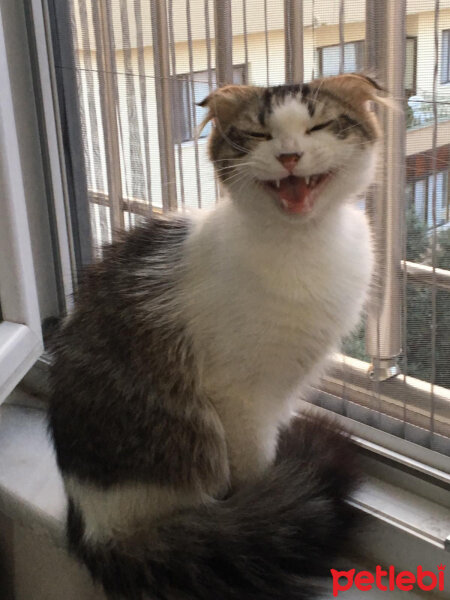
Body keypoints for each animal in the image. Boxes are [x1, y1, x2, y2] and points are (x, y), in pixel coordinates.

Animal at [48, 75, 384, 600]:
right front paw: (271, 493)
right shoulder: (240, 397)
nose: (289, 155)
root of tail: (95, 526)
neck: (303, 246)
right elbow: (257, 464)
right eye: (259, 134)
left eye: (319, 126)